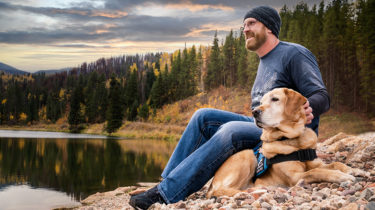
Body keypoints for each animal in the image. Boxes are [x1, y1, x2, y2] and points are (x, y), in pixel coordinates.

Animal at [209, 88, 362, 198]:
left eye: (275, 99)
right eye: (261, 103)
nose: (254, 112)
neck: (292, 140)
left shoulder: (317, 163)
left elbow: (334, 164)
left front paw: (353, 170)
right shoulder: (295, 177)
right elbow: (317, 171)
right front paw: (342, 176)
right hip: (247, 156)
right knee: (220, 191)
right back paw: (247, 192)